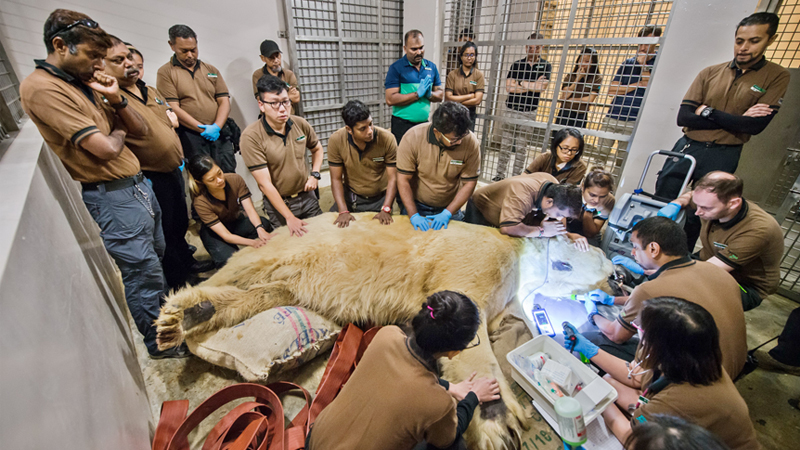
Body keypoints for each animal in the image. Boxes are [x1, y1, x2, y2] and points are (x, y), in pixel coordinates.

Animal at [156, 212, 612, 450]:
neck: (524, 258)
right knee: (244, 269)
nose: (618, 284)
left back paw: (195, 314)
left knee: (269, 291)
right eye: (611, 270)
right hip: (289, 244)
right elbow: (470, 319)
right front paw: (499, 421)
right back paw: (174, 317)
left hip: (295, 273)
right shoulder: (481, 254)